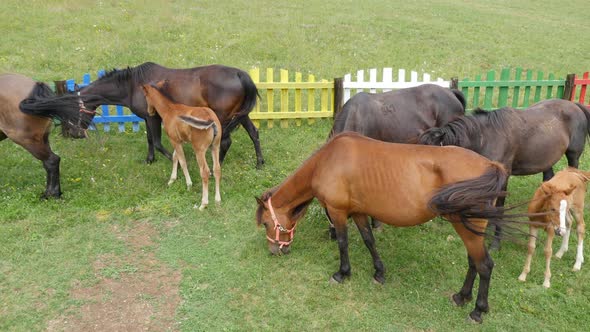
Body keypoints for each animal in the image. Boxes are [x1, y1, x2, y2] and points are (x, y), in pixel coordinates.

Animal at [71, 61, 262, 167]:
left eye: (71, 110)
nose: (74, 134)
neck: (132, 85)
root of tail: (239, 74)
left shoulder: (153, 117)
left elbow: (157, 142)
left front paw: (176, 161)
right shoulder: (148, 118)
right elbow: (150, 140)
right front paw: (149, 160)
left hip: (223, 117)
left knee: (225, 141)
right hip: (240, 115)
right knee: (254, 133)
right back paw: (259, 163)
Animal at [142, 81, 223, 210]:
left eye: (145, 96)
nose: (149, 111)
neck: (169, 109)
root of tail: (211, 118)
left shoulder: (174, 141)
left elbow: (182, 161)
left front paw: (189, 184)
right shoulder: (179, 141)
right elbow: (175, 157)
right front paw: (172, 180)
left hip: (199, 150)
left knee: (205, 171)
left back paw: (203, 203)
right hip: (215, 147)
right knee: (217, 169)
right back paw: (217, 200)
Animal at [256, 132, 524, 324]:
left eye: (267, 223)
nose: (274, 250)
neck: (328, 161)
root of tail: (490, 165)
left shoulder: (338, 212)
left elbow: (343, 243)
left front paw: (342, 273)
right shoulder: (359, 212)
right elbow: (369, 240)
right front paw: (379, 273)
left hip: (467, 228)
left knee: (484, 265)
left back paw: (477, 311)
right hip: (468, 229)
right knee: (473, 263)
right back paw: (461, 297)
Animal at [418, 98, 590, 249]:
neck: (486, 137)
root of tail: (574, 105)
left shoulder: (503, 177)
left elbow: (499, 207)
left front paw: (495, 242)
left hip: (573, 156)